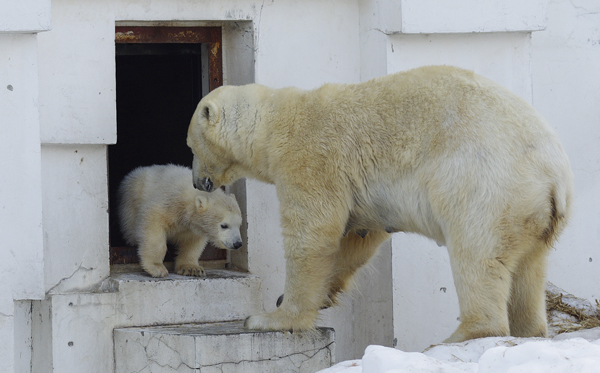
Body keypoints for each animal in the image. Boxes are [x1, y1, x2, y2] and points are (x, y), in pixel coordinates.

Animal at [188, 66, 572, 340]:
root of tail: (554, 174)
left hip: (485, 185)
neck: (276, 123)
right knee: (528, 269)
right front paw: (312, 297)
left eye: (191, 145)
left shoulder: (314, 158)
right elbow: (357, 238)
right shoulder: (363, 195)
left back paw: (461, 334)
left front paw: (271, 317)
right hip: (533, 211)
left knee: (477, 255)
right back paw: (530, 330)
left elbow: (313, 235)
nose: (196, 182)